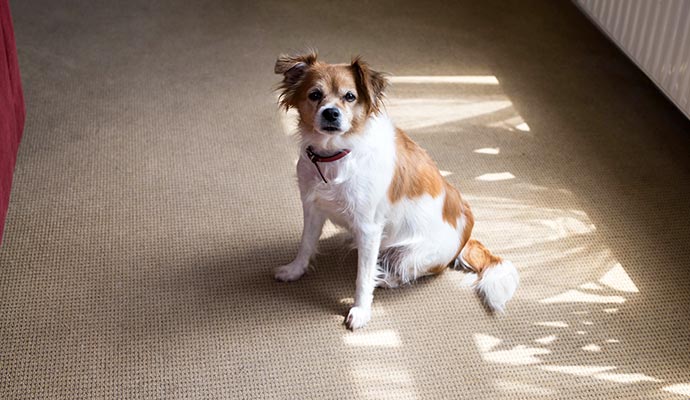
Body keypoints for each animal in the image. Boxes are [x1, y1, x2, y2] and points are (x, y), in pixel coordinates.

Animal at [272, 51, 516, 330]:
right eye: (314, 94)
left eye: (350, 96)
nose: (331, 113)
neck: (336, 154)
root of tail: (466, 234)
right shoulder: (313, 208)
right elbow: (306, 245)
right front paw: (295, 270)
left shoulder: (369, 229)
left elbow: (363, 277)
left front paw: (361, 310)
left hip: (409, 255)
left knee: (415, 271)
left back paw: (386, 279)